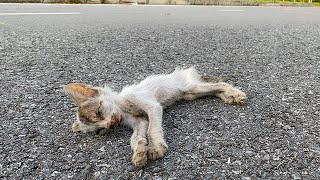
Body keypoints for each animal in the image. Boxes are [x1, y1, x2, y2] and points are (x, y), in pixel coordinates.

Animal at [63, 67, 248, 167]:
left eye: (99, 112)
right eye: (99, 130)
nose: (110, 124)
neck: (123, 106)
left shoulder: (152, 106)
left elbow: (152, 129)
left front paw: (156, 147)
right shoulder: (139, 121)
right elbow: (137, 137)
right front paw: (139, 152)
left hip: (190, 87)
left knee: (219, 83)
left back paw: (235, 93)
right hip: (191, 94)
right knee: (215, 89)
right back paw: (229, 96)